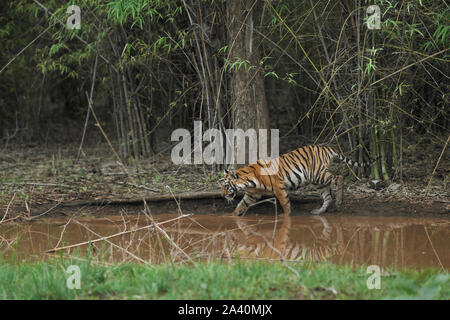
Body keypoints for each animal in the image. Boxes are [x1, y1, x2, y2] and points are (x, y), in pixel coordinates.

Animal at [218, 146, 376, 216]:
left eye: (226, 186)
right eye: (221, 187)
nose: (222, 195)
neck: (249, 181)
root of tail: (326, 147)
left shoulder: (279, 187)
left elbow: (285, 203)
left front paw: (286, 216)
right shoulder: (252, 194)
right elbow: (241, 204)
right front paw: (232, 216)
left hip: (318, 174)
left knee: (339, 178)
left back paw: (339, 201)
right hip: (317, 182)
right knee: (327, 196)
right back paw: (318, 211)